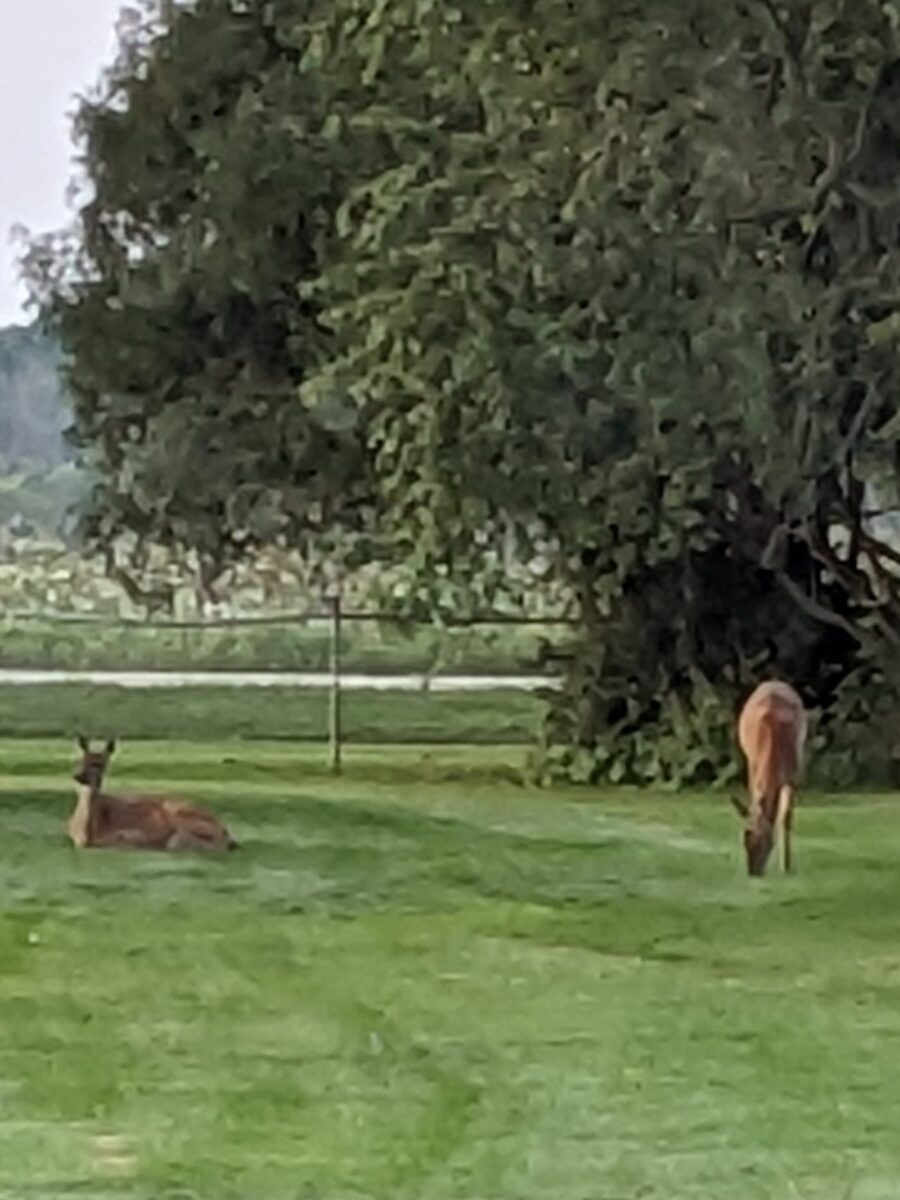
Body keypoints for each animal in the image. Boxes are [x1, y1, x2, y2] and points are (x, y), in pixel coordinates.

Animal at [730, 681, 807, 877]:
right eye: (744, 838)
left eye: (764, 842)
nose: (753, 872)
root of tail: (773, 681)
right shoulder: (754, 764)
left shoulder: (794, 773)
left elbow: (786, 817)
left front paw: (786, 866)